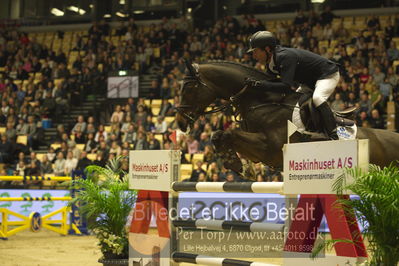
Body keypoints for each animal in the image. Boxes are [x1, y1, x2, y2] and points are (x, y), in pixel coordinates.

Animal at [177, 61, 399, 175]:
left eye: (189, 88)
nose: (179, 122)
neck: (261, 101)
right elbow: (219, 135)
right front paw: (241, 166)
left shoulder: (270, 148)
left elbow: (228, 133)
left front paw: (235, 164)